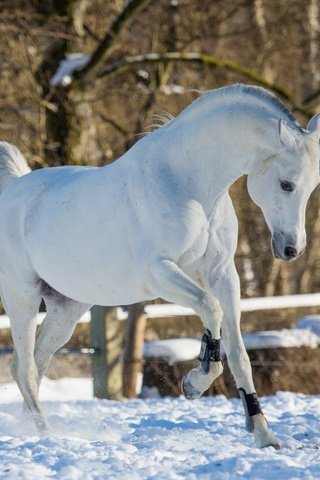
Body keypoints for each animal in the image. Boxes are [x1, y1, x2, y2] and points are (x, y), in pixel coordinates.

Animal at [0, 85, 320, 446]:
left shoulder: (223, 275)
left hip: (66, 308)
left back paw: (35, 430)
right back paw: (48, 435)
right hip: (22, 296)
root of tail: (12, 189)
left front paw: (264, 435)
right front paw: (194, 382)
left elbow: (238, 354)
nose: (291, 248)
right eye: (286, 184)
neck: (188, 184)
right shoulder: (159, 273)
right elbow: (210, 309)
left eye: (312, 186)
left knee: (35, 363)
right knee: (24, 368)